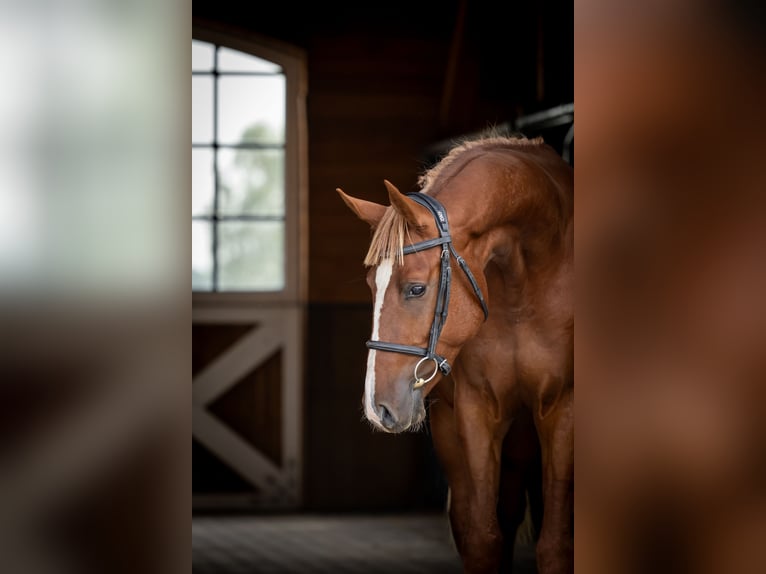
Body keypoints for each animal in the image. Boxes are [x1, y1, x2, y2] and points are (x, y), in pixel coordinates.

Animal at [337, 135, 573, 574]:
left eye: (415, 288)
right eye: (371, 285)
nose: (379, 408)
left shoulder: (563, 409)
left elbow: (555, 546)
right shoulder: (478, 408)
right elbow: (482, 537)